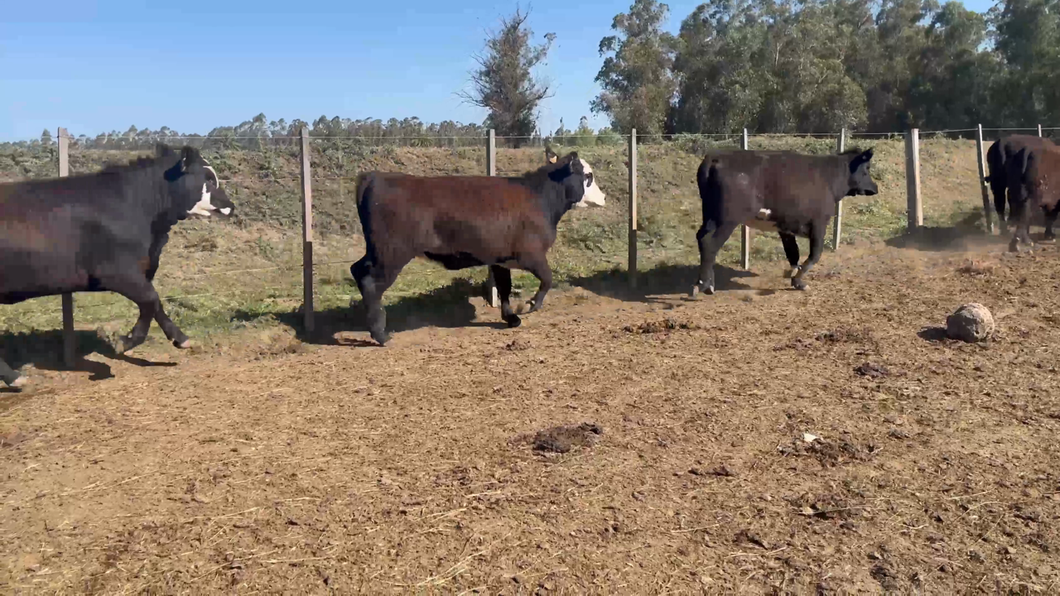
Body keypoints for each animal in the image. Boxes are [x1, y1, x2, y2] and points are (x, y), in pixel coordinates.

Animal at [0, 141, 236, 388]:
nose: (231, 206)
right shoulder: (116, 272)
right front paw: (125, 341)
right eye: (208, 179)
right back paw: (15, 377)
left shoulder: (141, 272)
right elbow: (151, 299)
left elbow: (156, 303)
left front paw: (180, 339)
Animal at [351, 147, 593, 343]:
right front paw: (529, 305)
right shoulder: (531, 254)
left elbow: (504, 287)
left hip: (378, 252)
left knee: (357, 270)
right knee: (370, 282)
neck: (540, 197)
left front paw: (511, 318)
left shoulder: (501, 258)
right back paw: (381, 334)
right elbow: (547, 278)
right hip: (391, 254)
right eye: (588, 175)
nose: (600, 195)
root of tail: (374, 176)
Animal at [686, 147, 877, 294]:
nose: (875, 188)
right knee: (710, 244)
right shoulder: (819, 223)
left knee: (701, 238)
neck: (830, 177)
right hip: (727, 220)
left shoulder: (785, 226)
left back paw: (706, 283)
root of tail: (715, 157)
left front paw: (793, 276)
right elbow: (815, 255)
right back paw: (704, 285)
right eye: (867, 168)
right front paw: (799, 282)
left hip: (710, 215)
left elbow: (793, 253)